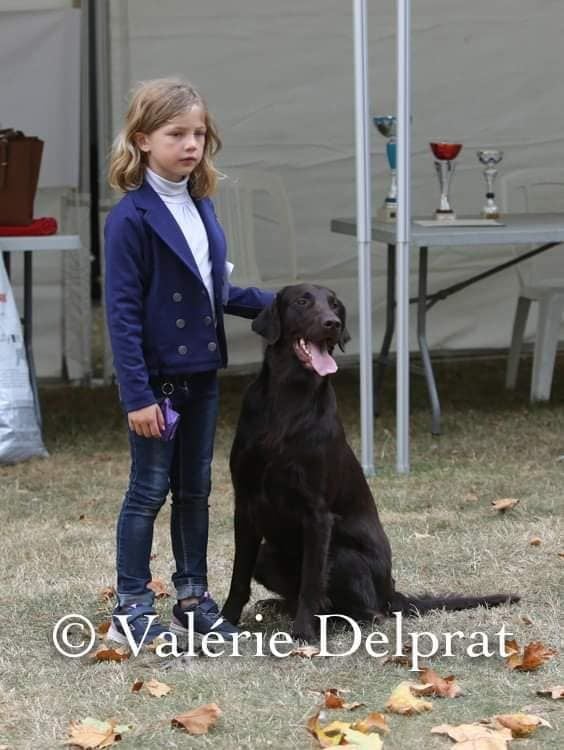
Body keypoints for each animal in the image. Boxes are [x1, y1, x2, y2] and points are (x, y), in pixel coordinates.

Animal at [221, 283, 519, 643]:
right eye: (302, 301)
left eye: (335, 305)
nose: (332, 323)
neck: (289, 400)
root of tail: (392, 591)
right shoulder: (245, 503)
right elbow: (239, 574)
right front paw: (223, 621)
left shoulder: (317, 513)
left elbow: (311, 581)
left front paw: (304, 634)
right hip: (268, 554)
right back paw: (279, 607)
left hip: (341, 557)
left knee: (369, 612)